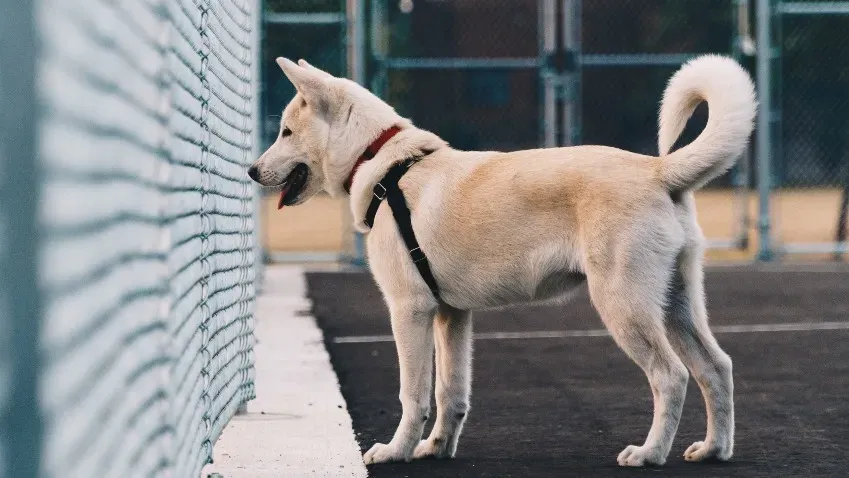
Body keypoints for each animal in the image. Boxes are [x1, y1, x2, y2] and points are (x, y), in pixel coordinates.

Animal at [250, 53, 756, 466]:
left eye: (286, 132)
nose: (251, 171)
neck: (384, 166)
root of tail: (658, 170)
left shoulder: (410, 311)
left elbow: (413, 394)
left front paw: (397, 451)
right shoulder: (451, 316)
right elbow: (451, 393)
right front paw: (436, 448)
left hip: (625, 306)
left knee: (671, 376)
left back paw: (649, 453)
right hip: (676, 305)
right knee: (717, 368)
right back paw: (714, 450)